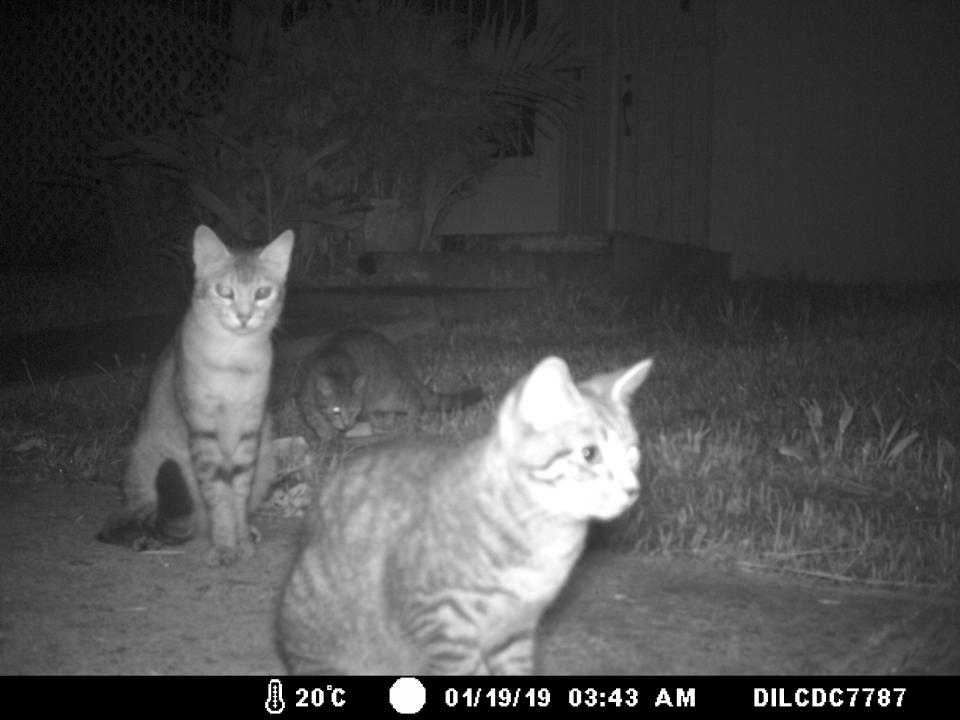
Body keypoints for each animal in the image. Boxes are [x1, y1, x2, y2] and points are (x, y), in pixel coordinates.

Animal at [98, 228, 294, 564]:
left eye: (262, 293)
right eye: (225, 291)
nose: (244, 317)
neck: (235, 358)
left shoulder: (249, 431)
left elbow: (237, 495)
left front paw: (241, 539)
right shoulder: (203, 431)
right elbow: (219, 496)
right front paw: (226, 546)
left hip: (266, 457)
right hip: (149, 467)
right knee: (133, 520)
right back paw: (147, 538)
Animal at [298, 326, 484, 438]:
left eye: (353, 410)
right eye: (335, 410)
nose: (347, 424)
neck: (333, 366)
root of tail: (396, 356)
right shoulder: (306, 396)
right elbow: (314, 419)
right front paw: (326, 434)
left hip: (388, 393)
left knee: (414, 399)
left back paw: (409, 424)